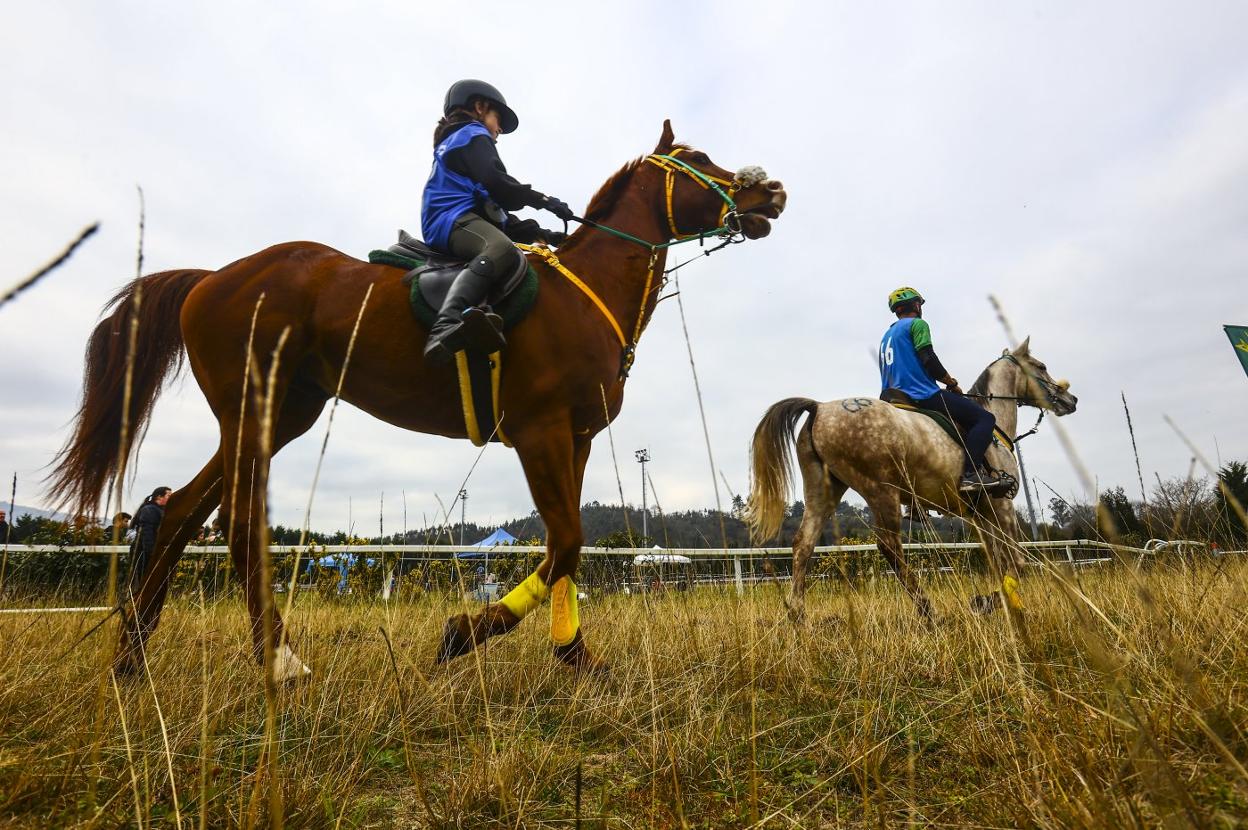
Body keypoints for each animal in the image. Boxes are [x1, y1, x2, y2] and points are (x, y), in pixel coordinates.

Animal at [56, 122, 788, 678]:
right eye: (698, 161)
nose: (773, 191)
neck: (587, 288)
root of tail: (213, 278)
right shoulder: (539, 430)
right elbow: (567, 542)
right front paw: (469, 631)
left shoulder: (575, 438)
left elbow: (566, 549)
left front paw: (572, 653)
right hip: (251, 413)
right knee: (235, 525)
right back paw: (279, 659)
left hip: (279, 415)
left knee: (182, 514)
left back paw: (132, 656)